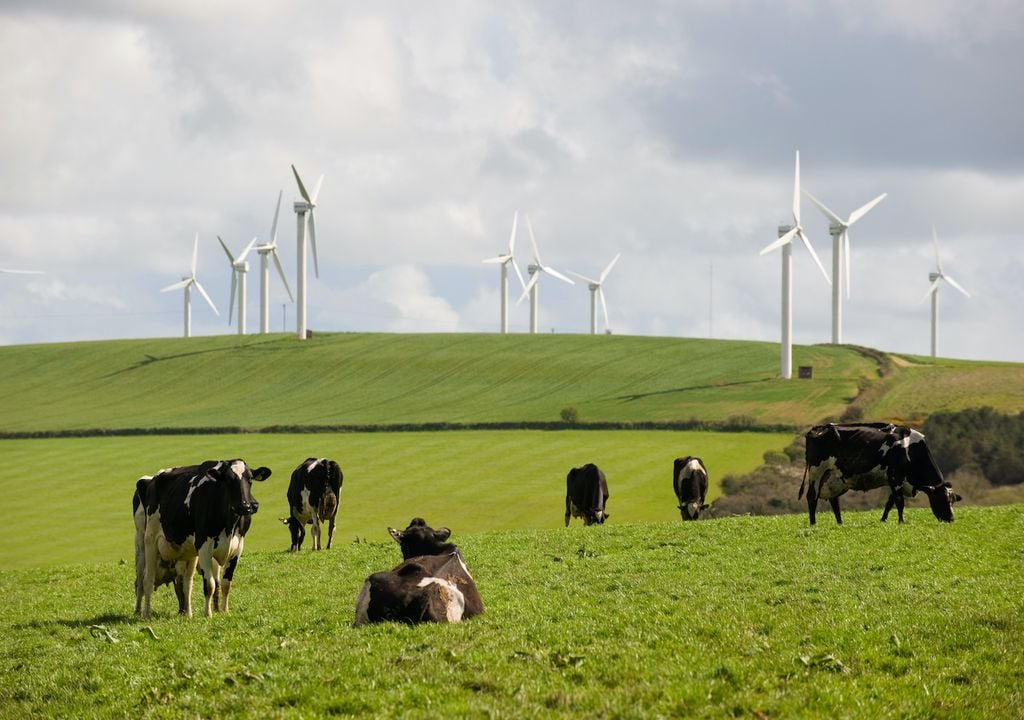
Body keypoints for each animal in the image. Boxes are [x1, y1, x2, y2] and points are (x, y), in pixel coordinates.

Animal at [136, 462, 272, 618]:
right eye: (228, 480)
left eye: (250, 479)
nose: (246, 506)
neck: (229, 525)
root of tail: (154, 478)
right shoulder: (204, 547)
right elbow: (210, 584)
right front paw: (208, 614)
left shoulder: (237, 548)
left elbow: (226, 583)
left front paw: (225, 611)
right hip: (148, 542)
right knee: (146, 579)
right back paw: (144, 613)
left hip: (188, 552)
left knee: (186, 583)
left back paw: (188, 614)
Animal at [798, 419, 958, 528]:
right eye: (942, 499)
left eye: (952, 500)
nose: (951, 519)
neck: (910, 449)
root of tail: (819, 428)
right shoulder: (895, 477)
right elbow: (899, 502)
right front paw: (901, 521)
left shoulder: (898, 481)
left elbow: (890, 502)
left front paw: (883, 520)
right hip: (816, 471)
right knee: (812, 497)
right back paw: (813, 524)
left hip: (834, 477)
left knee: (833, 499)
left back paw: (840, 523)